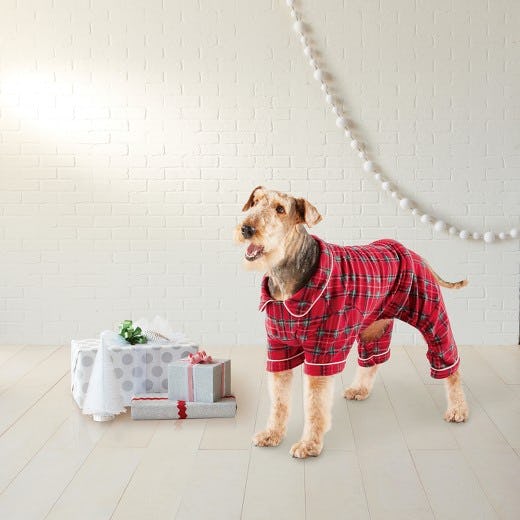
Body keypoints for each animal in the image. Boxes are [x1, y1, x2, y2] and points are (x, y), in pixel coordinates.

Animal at [237, 187, 472, 460]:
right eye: (255, 202)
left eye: (280, 209)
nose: (246, 229)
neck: (287, 279)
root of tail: (416, 255)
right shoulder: (279, 348)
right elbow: (279, 400)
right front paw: (271, 435)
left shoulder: (321, 353)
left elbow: (315, 405)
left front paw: (309, 445)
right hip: (374, 326)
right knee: (372, 360)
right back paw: (359, 389)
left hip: (431, 317)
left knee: (449, 363)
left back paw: (458, 410)